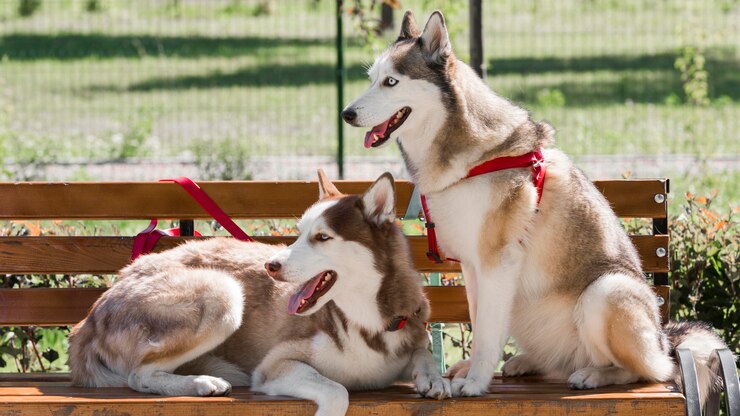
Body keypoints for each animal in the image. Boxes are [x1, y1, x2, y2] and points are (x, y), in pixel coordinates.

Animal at [69, 171, 450, 416]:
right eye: (298, 232)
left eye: (322, 237)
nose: (271, 265)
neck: (367, 321)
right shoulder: (275, 366)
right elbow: (336, 389)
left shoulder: (411, 336)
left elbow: (424, 350)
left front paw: (433, 378)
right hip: (223, 293)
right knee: (139, 375)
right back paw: (201, 382)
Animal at [342, 9, 728, 406]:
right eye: (372, 79)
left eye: (391, 82)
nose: (346, 114)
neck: (473, 157)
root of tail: (665, 341)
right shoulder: (473, 266)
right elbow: (480, 322)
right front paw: (472, 370)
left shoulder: (497, 262)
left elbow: (487, 333)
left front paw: (476, 382)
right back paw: (527, 362)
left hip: (605, 292)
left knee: (648, 370)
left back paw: (595, 374)